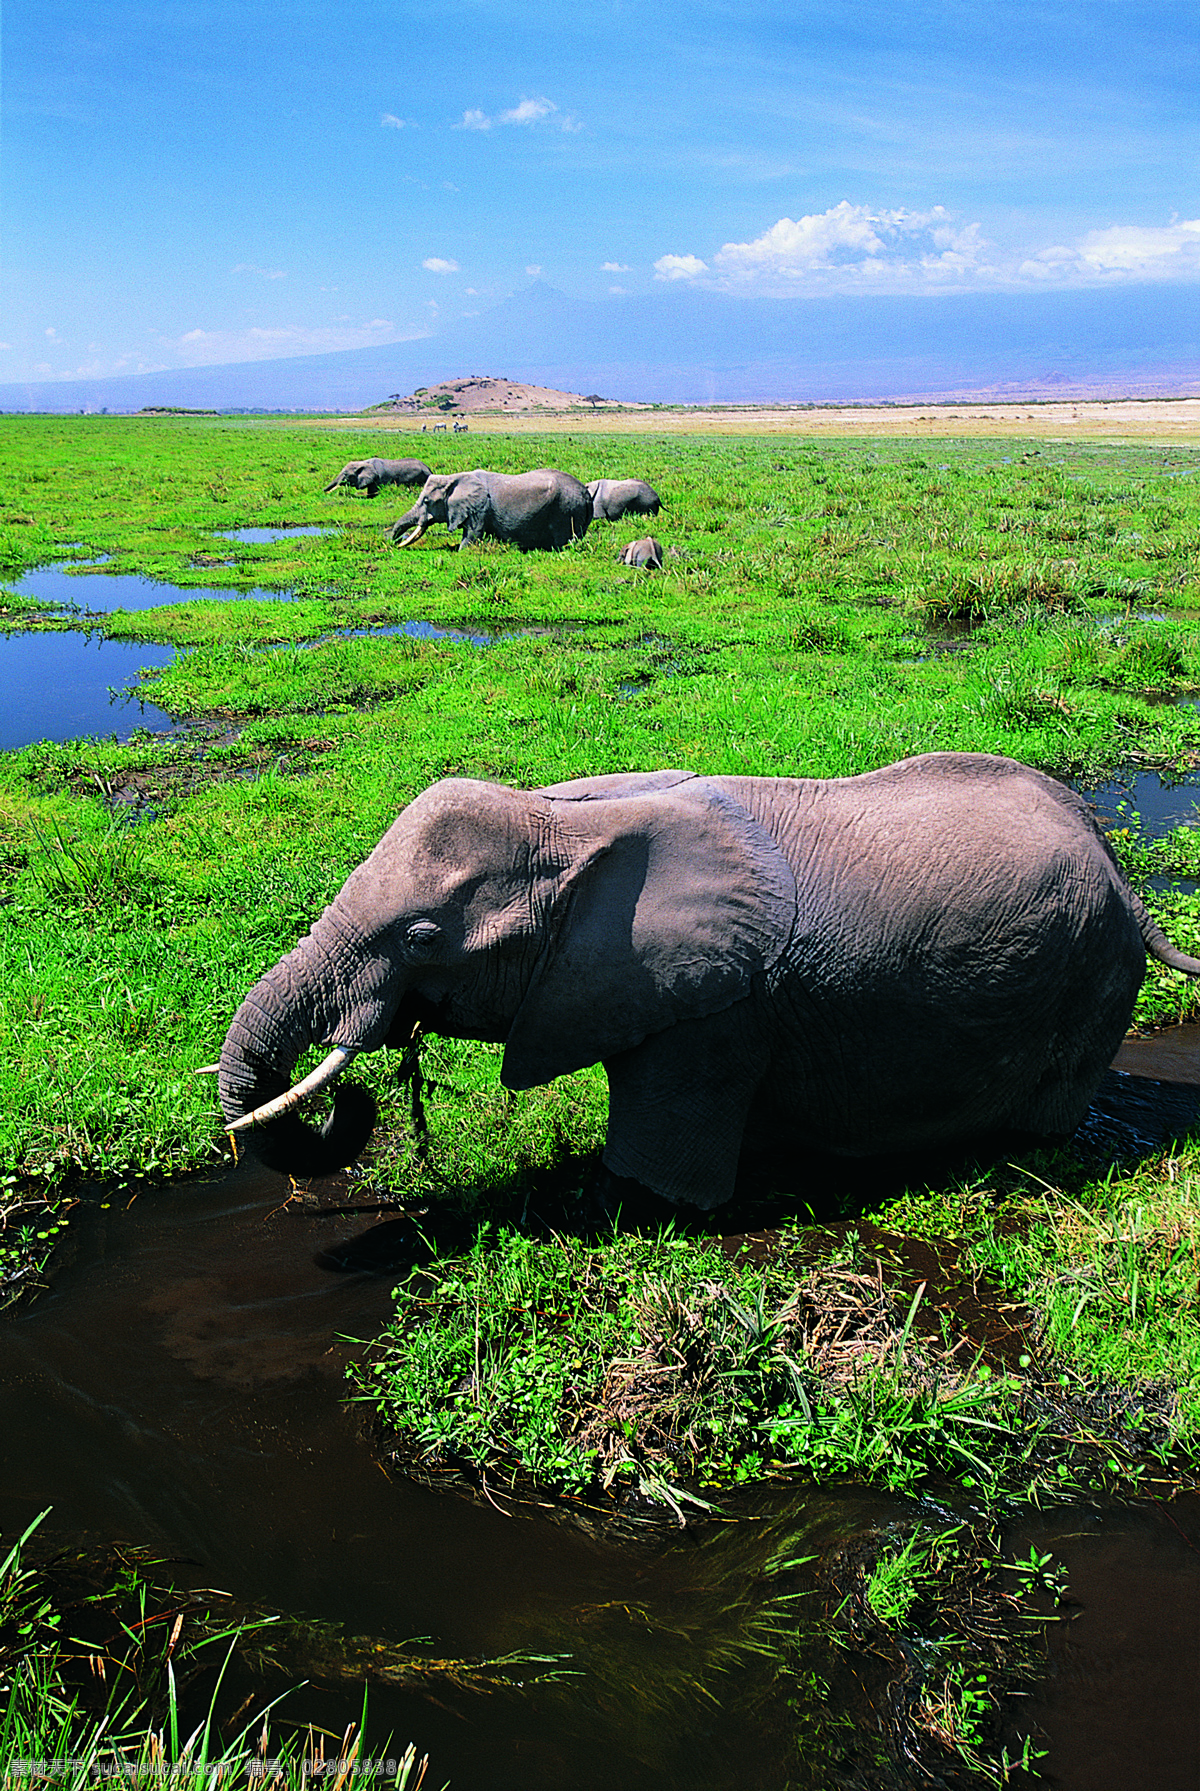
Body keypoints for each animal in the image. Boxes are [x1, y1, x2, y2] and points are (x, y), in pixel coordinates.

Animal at [216, 748, 1200, 1210]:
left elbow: (648, 1185)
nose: (352, 1104)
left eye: (423, 937)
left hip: (1092, 979)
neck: (564, 823)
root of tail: (1120, 870)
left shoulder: (719, 1010)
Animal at [392, 465, 594, 548]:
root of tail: (586, 493)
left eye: (427, 501)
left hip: (566, 510)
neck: (454, 477)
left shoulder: (479, 508)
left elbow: (472, 535)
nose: (394, 542)